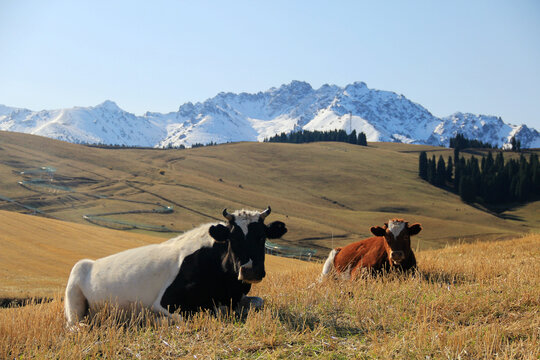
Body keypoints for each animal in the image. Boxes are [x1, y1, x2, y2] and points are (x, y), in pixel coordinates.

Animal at [64, 205, 286, 326]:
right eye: (233, 237)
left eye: (262, 236)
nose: (250, 270)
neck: (227, 288)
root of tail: (91, 262)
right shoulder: (167, 302)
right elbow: (207, 314)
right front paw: (152, 320)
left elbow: (258, 302)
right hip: (73, 294)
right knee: (74, 324)